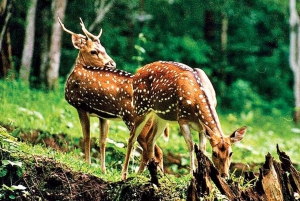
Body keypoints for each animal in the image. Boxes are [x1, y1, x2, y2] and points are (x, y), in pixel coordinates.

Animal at [57, 18, 166, 174]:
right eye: (94, 51)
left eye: (104, 49)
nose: (112, 63)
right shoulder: (103, 115)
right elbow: (102, 140)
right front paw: (103, 170)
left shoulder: (81, 106)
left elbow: (87, 137)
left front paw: (87, 164)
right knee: (155, 150)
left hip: (134, 119)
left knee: (151, 150)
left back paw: (138, 176)